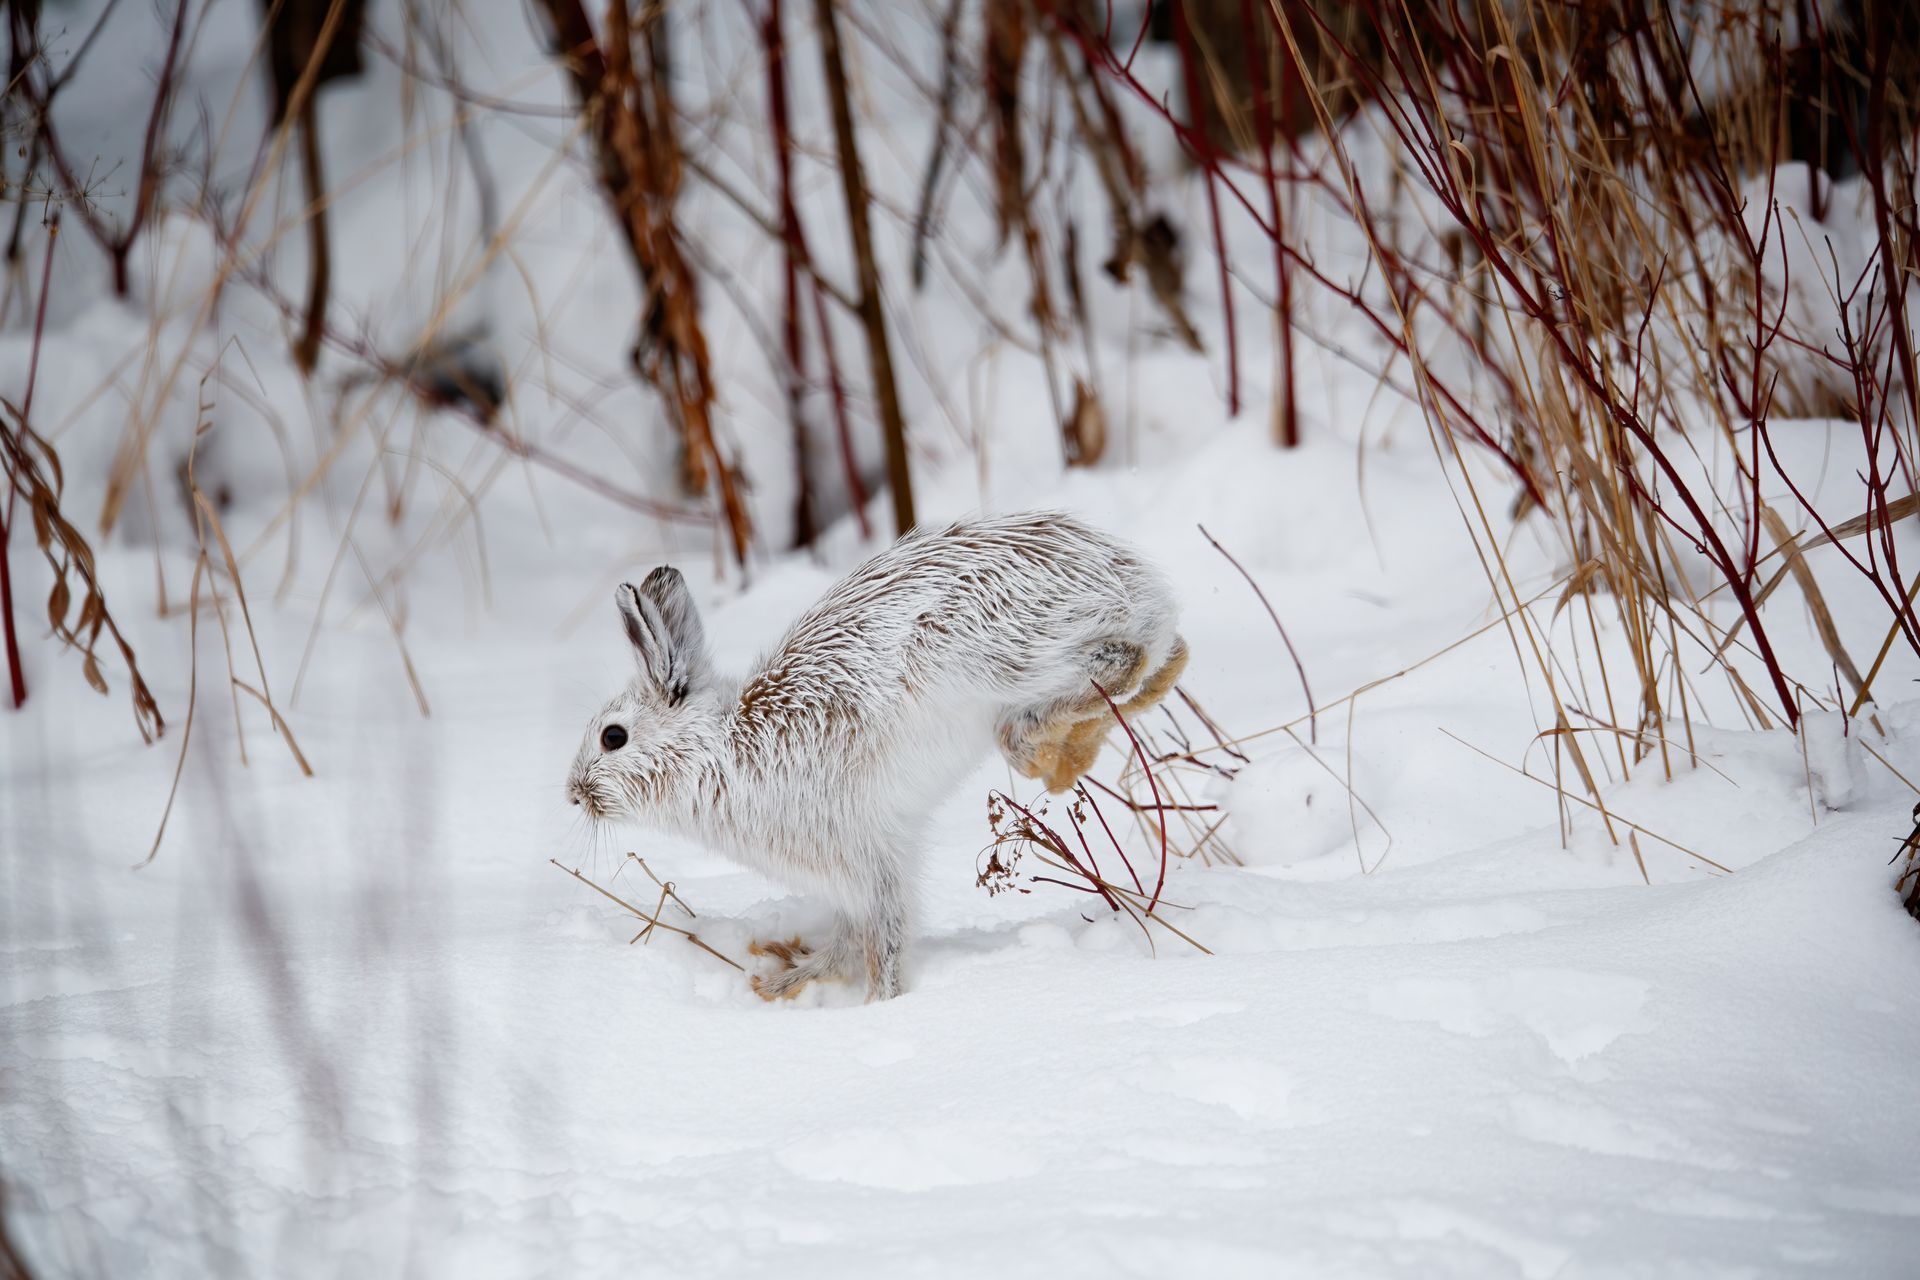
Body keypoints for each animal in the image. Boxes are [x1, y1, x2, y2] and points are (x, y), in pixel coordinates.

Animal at [565, 511, 1188, 1002]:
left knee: (1116, 663)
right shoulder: (852, 872)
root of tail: (1125, 577)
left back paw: (1054, 760)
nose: (573, 794)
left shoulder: (869, 859)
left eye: (613, 738)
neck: (716, 752)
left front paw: (878, 1007)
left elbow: (882, 940)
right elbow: (847, 938)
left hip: (1003, 656)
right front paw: (785, 976)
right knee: (1166, 657)